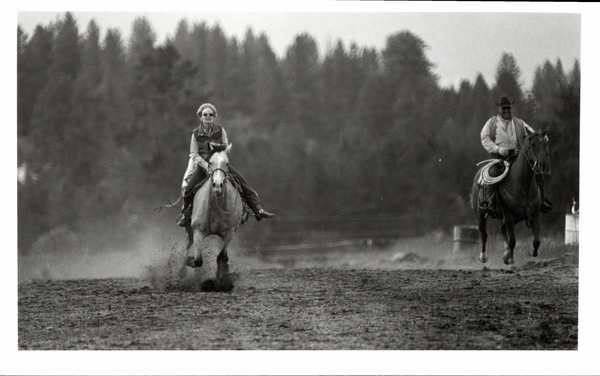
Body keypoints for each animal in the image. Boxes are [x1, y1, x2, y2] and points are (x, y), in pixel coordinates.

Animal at [472, 131, 552, 266]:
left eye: (545, 144)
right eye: (532, 144)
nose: (543, 164)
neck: (523, 186)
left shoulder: (535, 214)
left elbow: (536, 241)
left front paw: (531, 252)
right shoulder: (509, 215)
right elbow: (512, 241)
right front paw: (511, 259)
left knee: (501, 228)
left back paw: (505, 254)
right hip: (481, 213)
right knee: (484, 234)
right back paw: (483, 256)